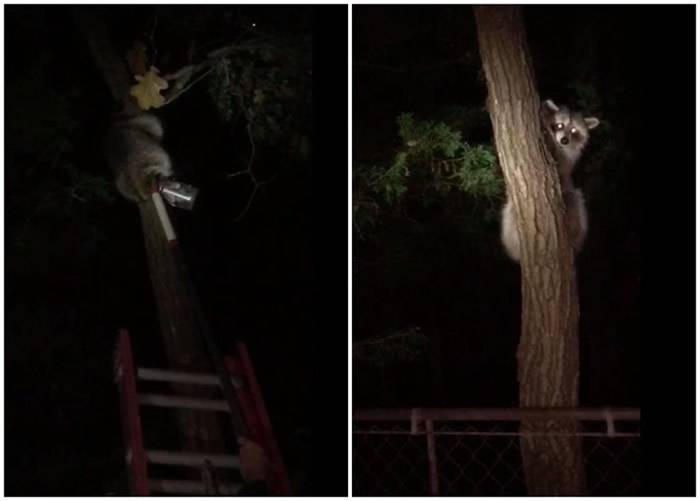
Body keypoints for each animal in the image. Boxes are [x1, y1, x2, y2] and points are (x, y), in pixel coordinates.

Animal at [498, 97, 600, 262]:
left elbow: (559, 161)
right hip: (511, 215)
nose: (564, 140)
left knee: (575, 201)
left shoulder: (567, 160)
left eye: (574, 130)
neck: (560, 145)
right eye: (559, 125)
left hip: (571, 202)